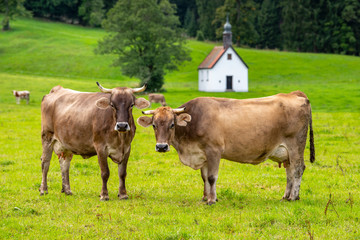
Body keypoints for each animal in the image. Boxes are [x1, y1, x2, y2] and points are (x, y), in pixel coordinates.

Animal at [138, 91, 316, 205]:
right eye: (154, 125)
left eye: (172, 124)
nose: (161, 147)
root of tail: (295, 95)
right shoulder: (202, 154)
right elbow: (204, 178)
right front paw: (206, 197)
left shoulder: (214, 151)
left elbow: (212, 177)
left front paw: (211, 200)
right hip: (286, 152)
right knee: (289, 171)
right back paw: (286, 196)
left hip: (296, 146)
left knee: (298, 169)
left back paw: (293, 197)